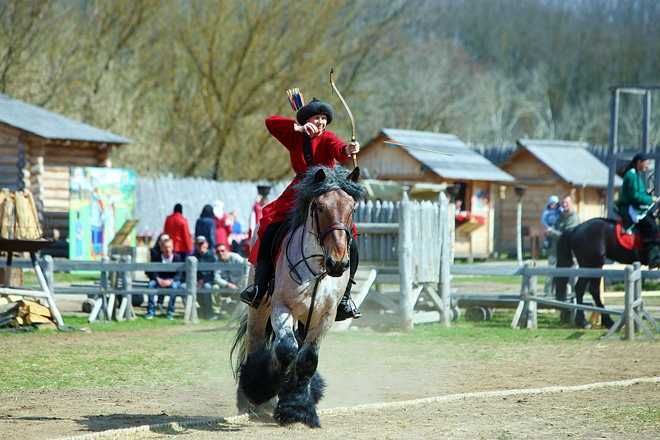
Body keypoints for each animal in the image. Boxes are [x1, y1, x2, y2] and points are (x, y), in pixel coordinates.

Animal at [232, 164, 366, 426]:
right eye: (319, 207)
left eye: (352, 208)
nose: (337, 263)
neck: (316, 268)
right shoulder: (282, 308)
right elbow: (286, 349)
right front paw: (267, 390)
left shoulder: (324, 316)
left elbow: (307, 359)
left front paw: (297, 407)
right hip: (259, 310)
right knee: (257, 342)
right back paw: (251, 394)